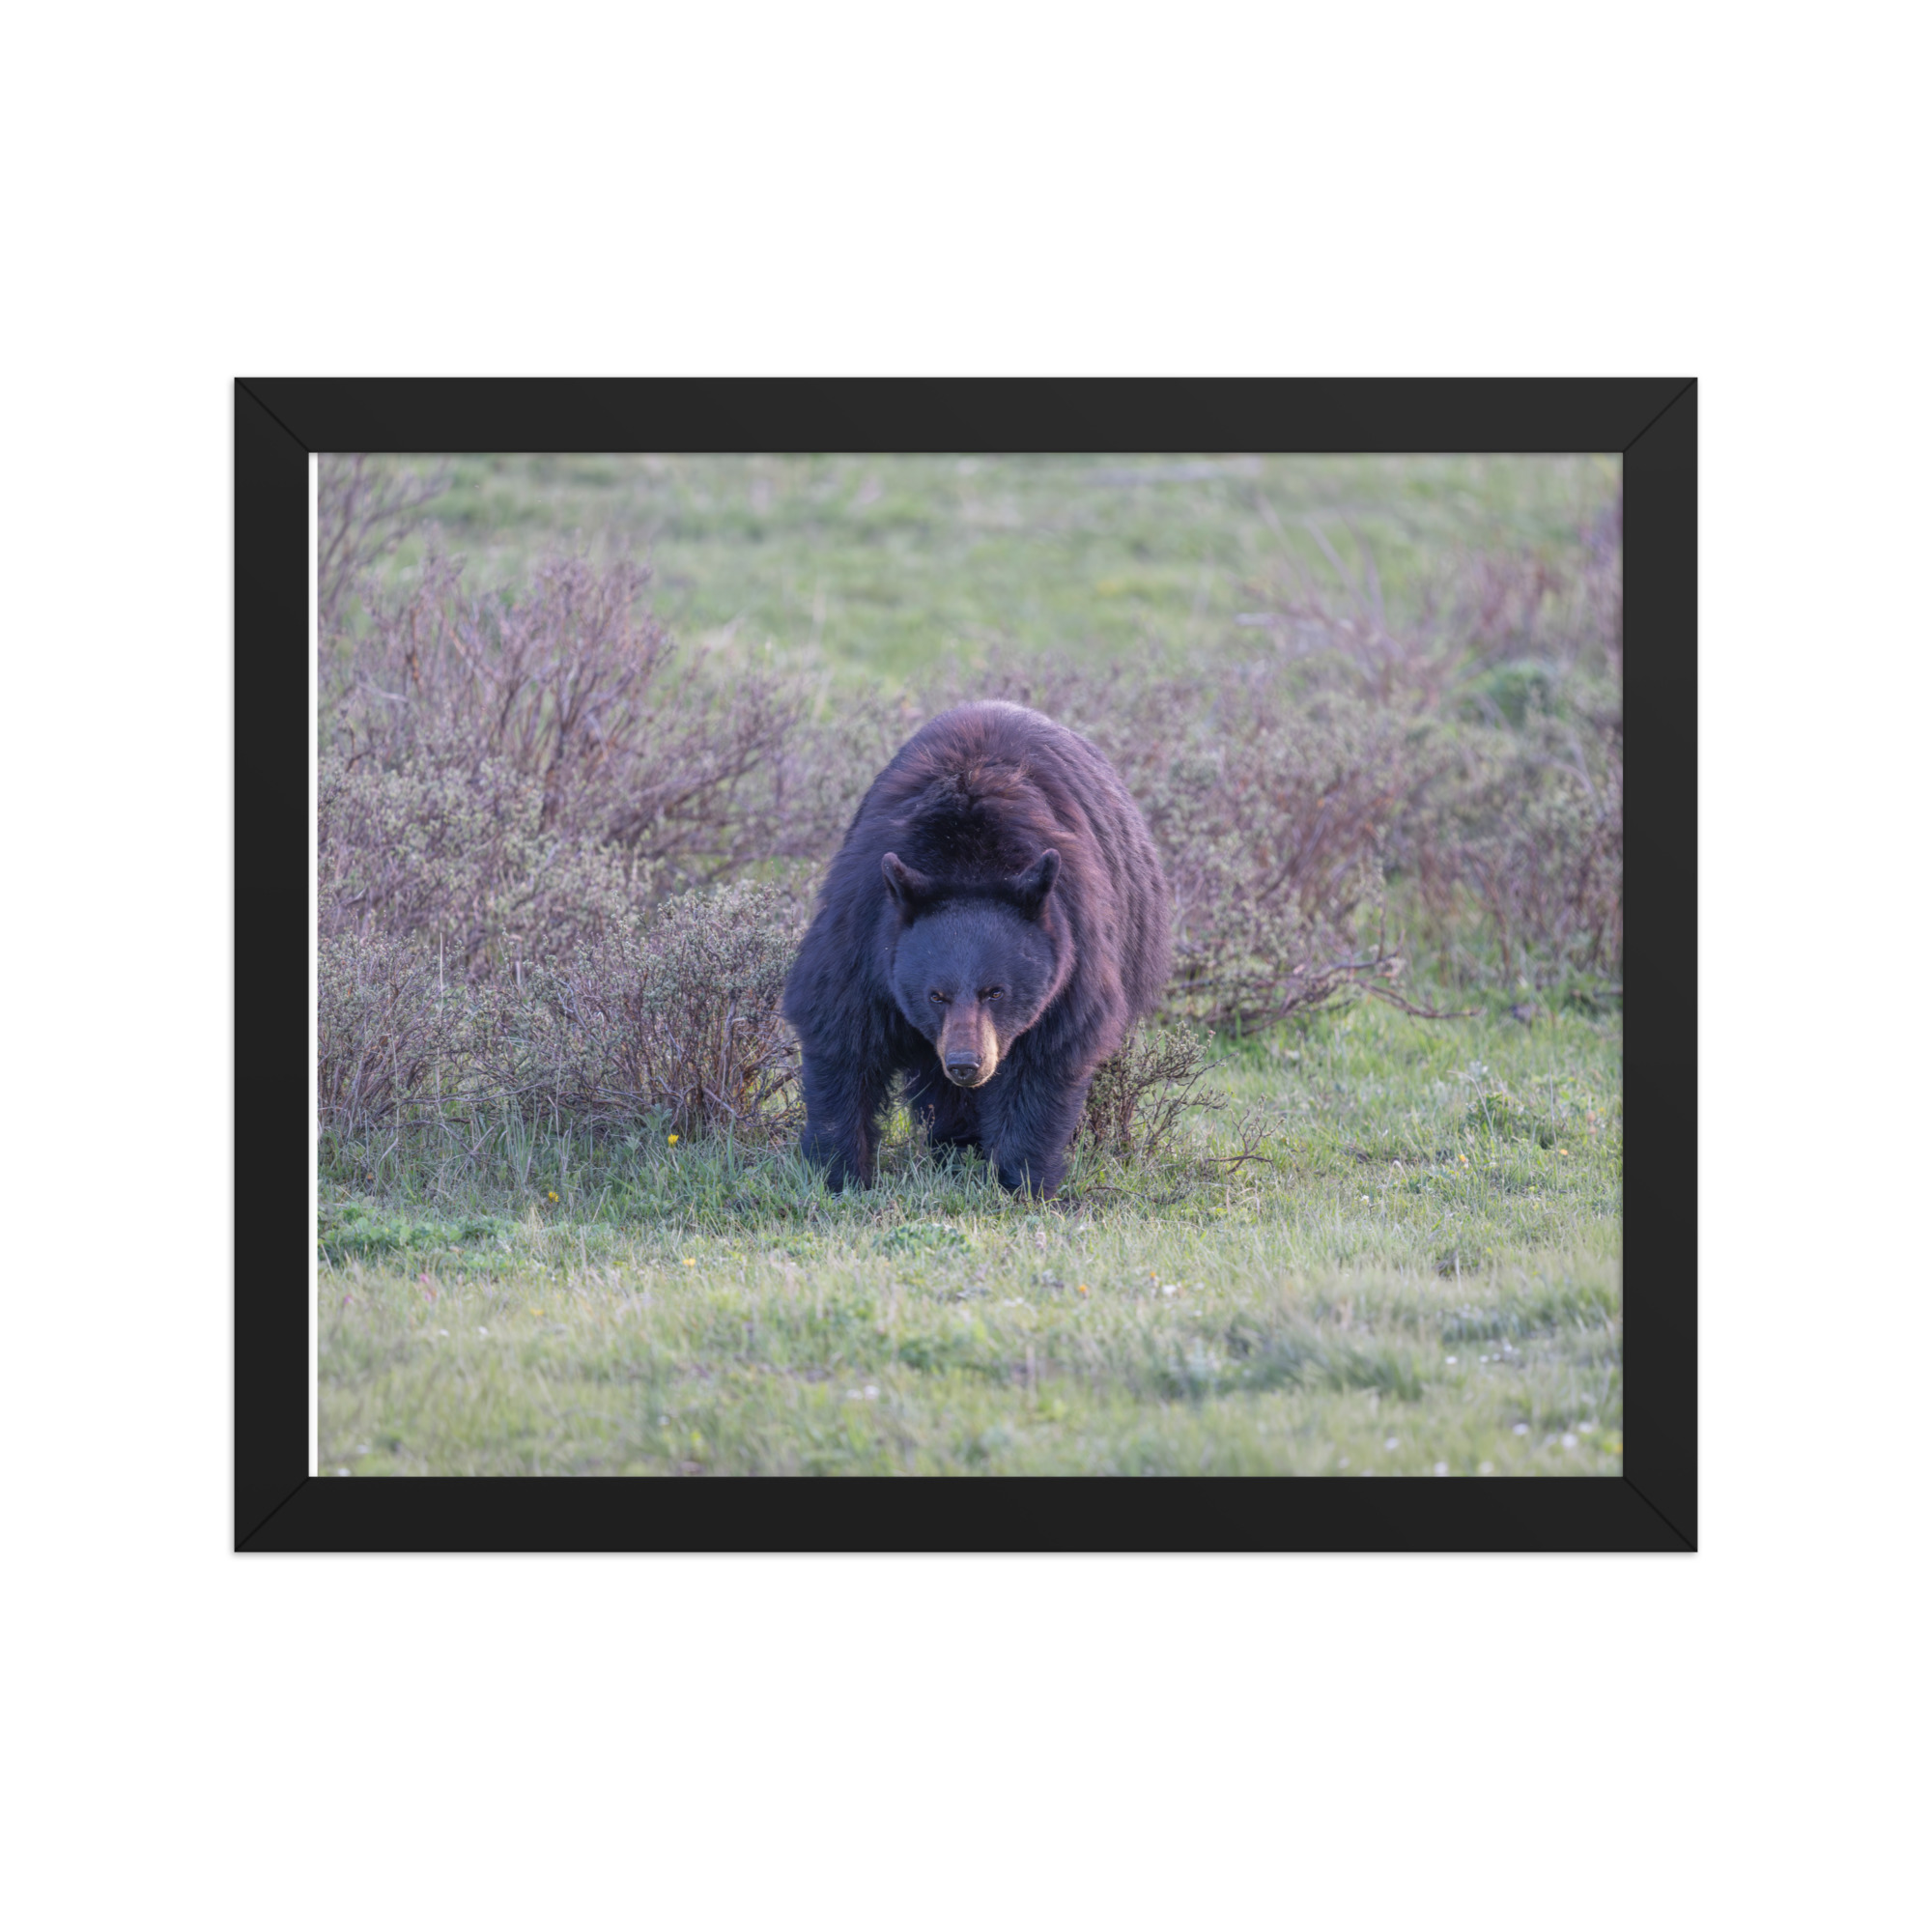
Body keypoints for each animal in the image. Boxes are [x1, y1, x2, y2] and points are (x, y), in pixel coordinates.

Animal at [782, 700, 1172, 1197]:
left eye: (996, 991)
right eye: (935, 995)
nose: (967, 1064)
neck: (966, 859)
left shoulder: (1074, 948)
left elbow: (1046, 1058)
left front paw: (1024, 1181)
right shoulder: (864, 930)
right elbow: (841, 1033)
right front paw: (840, 1172)